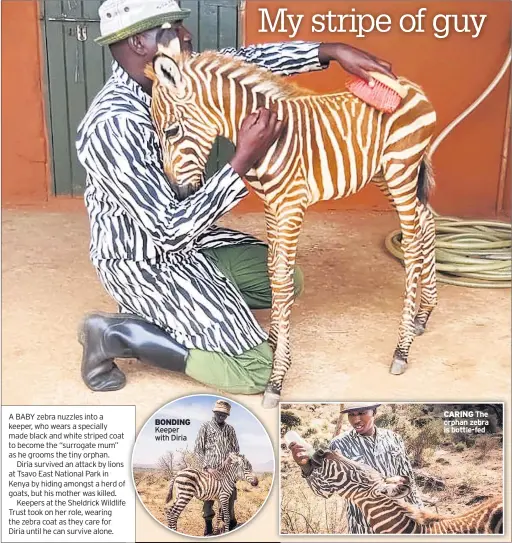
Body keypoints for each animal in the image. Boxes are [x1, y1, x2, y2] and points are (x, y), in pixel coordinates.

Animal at [146, 39, 438, 408]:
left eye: (171, 131)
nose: (178, 194)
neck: (269, 136)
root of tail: (410, 86)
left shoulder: (290, 205)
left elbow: (283, 280)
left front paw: (277, 377)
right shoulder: (273, 206)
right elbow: (272, 270)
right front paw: (272, 342)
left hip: (401, 168)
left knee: (412, 245)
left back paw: (402, 348)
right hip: (384, 173)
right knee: (427, 222)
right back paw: (423, 314)